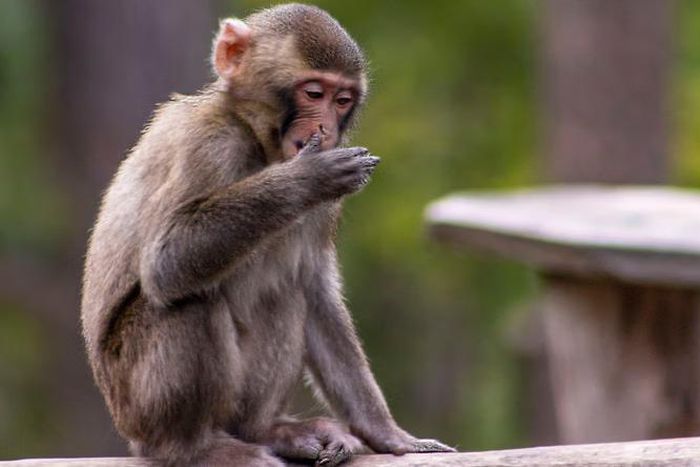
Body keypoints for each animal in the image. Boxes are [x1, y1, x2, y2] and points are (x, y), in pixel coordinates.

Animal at [81, 4, 454, 466]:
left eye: (342, 100)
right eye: (314, 93)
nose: (327, 128)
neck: (258, 141)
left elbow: (315, 289)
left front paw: (387, 433)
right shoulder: (210, 145)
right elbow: (166, 262)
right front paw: (304, 179)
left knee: (286, 291)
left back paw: (268, 431)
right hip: (137, 406)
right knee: (191, 302)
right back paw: (192, 448)